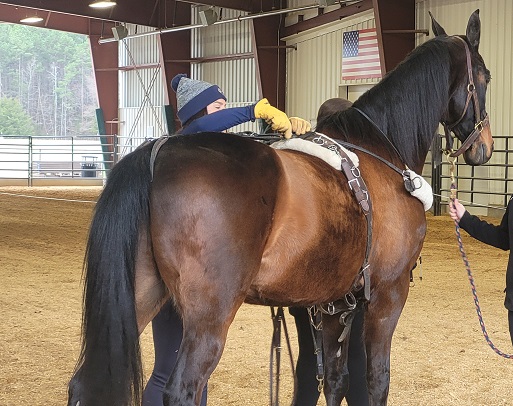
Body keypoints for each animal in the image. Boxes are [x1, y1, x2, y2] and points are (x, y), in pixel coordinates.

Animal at [68, 9, 492, 406]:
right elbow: (376, 381)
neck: (379, 149)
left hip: (141, 295)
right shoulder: (388, 293)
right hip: (209, 314)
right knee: (182, 389)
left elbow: (333, 380)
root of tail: (159, 150)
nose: (484, 147)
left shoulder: (333, 304)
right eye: (485, 76)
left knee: (84, 383)